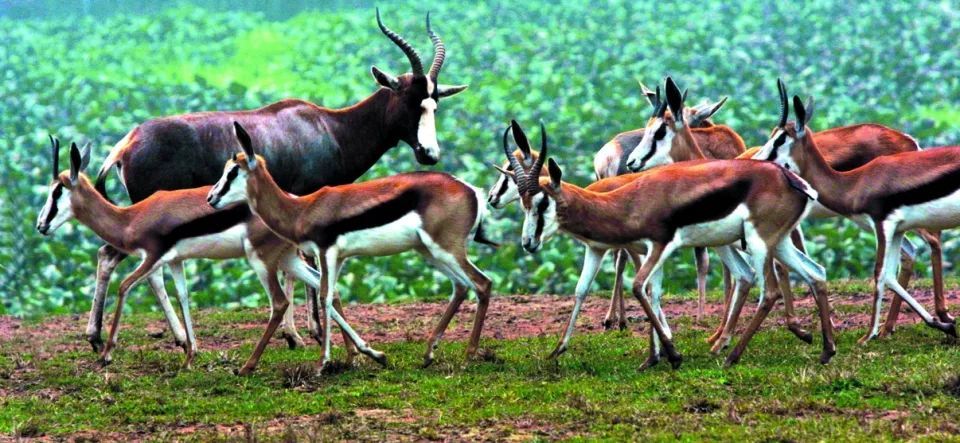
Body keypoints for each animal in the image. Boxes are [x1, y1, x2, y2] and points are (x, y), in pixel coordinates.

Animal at [35, 139, 362, 374]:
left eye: (56, 192)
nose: (41, 226)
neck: (131, 218)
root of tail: (295, 205)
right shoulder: (175, 261)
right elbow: (183, 296)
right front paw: (190, 355)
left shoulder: (152, 256)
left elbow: (125, 287)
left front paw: (107, 354)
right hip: (286, 259)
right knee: (327, 288)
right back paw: (351, 355)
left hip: (262, 261)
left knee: (284, 301)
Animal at [82, 7, 468, 354]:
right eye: (410, 101)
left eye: (434, 103)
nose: (429, 153)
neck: (327, 127)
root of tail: (128, 142)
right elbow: (307, 264)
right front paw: (310, 333)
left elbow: (294, 266)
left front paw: (296, 334)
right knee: (135, 264)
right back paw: (161, 339)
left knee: (110, 256)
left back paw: (108, 337)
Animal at [208, 122, 496, 372]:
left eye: (232, 172)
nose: (211, 198)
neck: (301, 209)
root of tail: (472, 190)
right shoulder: (338, 258)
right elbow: (332, 297)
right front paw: (366, 355)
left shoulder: (326, 252)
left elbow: (324, 297)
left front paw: (323, 363)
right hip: (429, 252)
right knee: (461, 286)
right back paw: (428, 353)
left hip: (445, 249)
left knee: (482, 283)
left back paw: (470, 353)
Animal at [752, 82, 956, 344]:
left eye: (779, 139)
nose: (756, 161)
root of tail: (910, 141)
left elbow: (878, 273)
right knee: (914, 252)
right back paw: (896, 327)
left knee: (932, 242)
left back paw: (937, 316)